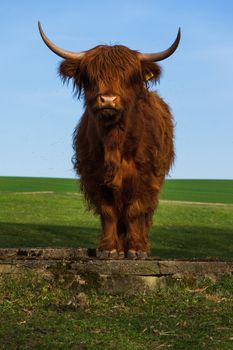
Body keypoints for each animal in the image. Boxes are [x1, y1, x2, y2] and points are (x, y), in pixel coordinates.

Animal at [38, 21, 181, 258]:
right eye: (91, 77)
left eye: (129, 77)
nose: (107, 99)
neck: (114, 142)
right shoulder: (94, 175)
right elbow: (109, 212)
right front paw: (109, 248)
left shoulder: (144, 176)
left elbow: (135, 210)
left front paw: (136, 249)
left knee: (144, 214)